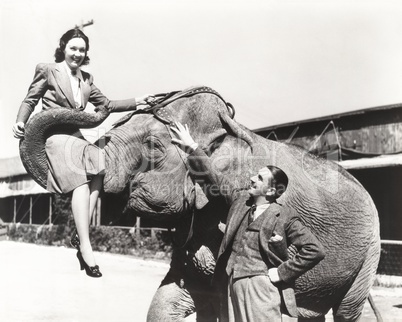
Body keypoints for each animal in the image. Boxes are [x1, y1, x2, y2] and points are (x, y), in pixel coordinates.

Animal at [20, 87, 380, 320]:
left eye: (153, 146)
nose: (100, 106)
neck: (231, 129)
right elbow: (167, 302)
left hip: (369, 254)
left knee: (347, 310)